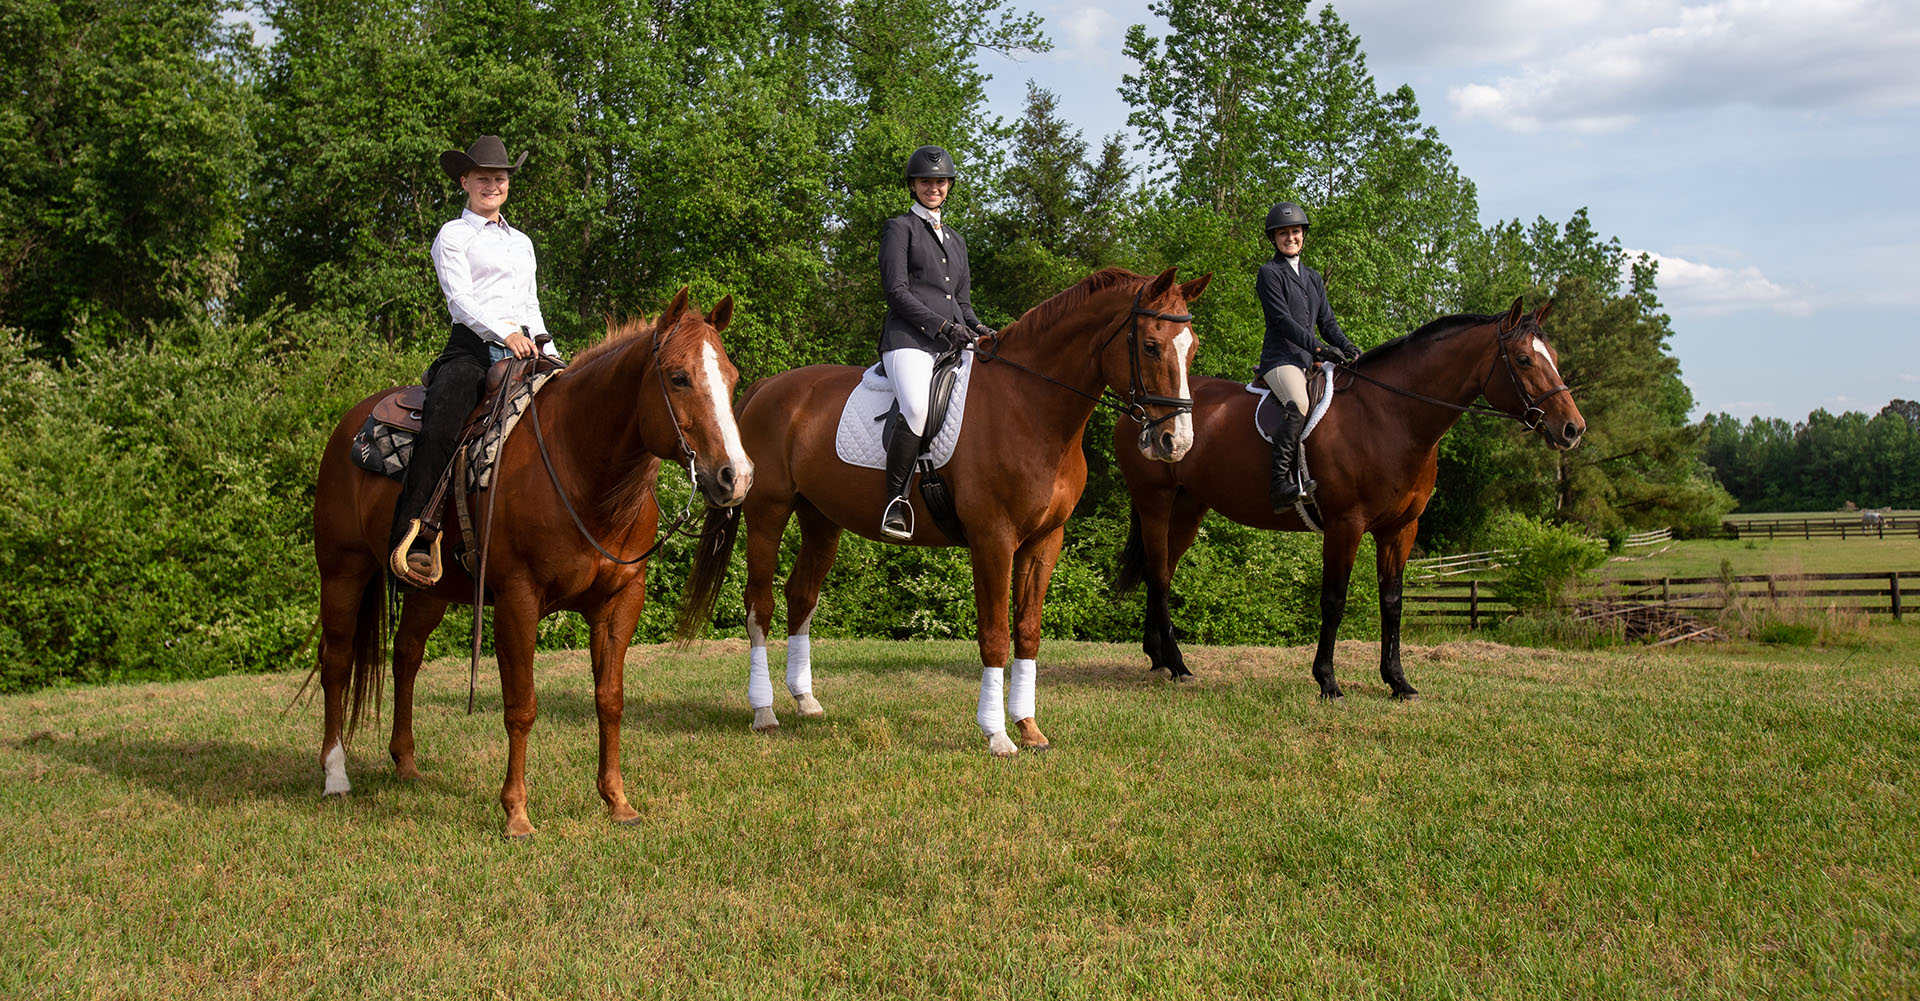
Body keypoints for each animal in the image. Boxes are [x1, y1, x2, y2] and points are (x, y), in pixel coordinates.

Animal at [309, 284, 748, 830]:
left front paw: (617, 800)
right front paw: (516, 812)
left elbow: (610, 700)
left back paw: (406, 764)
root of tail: (348, 426)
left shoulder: (620, 602)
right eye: (679, 377)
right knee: (337, 660)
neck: (580, 470)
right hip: (342, 570)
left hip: (430, 591)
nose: (736, 476)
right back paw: (335, 775)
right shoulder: (518, 600)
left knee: (406, 655)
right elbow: (521, 706)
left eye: (732, 378)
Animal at [675, 268, 1205, 753]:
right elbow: (995, 635)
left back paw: (805, 701)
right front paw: (997, 736)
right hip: (768, 512)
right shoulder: (993, 539)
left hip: (821, 518)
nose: (1175, 442)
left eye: (1192, 348)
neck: (1030, 406)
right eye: (1152, 346)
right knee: (759, 603)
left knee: (801, 596)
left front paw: (1029, 728)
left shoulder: (1043, 541)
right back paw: (764, 711)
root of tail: (767, 387)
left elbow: (1028, 633)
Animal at [1121, 295, 1582, 699]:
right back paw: (1177, 664)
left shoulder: (1400, 529)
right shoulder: (1346, 524)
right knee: (1159, 575)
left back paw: (1159, 658)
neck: (1391, 416)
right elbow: (1334, 600)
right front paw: (1328, 682)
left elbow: (1392, 603)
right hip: (1155, 501)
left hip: (1188, 506)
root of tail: (1143, 406)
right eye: (1523, 360)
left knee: (1163, 570)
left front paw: (1398, 682)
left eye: (1556, 357)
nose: (1573, 429)